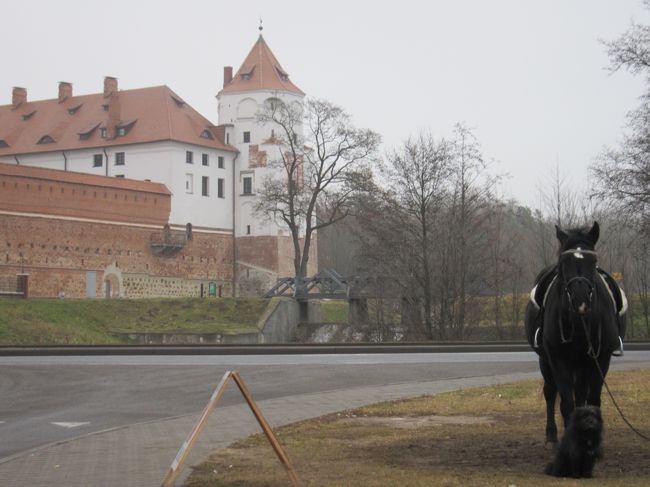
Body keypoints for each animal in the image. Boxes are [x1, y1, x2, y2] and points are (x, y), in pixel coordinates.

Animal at [520, 223, 624, 444]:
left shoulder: (600, 359)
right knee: (551, 393)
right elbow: (566, 403)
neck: (579, 322)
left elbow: (591, 400)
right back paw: (551, 435)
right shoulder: (558, 359)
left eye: (593, 261)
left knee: (581, 395)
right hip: (546, 361)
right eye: (564, 262)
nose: (580, 300)